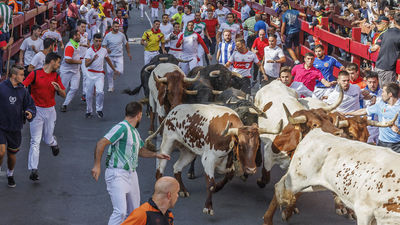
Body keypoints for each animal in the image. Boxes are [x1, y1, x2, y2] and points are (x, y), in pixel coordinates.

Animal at [147, 103, 282, 214]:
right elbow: (210, 184)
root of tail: (173, 111)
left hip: (189, 152)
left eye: (257, 145)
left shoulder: (228, 163)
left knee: (177, 167)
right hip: (167, 143)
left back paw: (183, 190)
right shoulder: (208, 159)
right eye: (241, 145)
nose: (251, 169)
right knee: (160, 167)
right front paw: (208, 207)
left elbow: (227, 177)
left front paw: (218, 187)